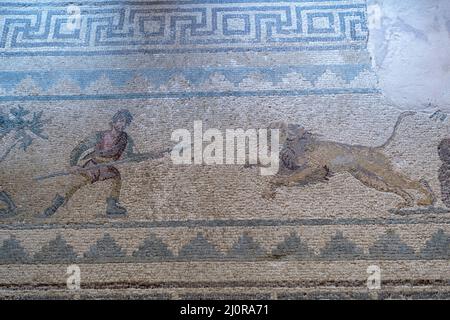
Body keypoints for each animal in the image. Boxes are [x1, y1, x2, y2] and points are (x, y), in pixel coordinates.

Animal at [266, 111, 434, 209]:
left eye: (278, 129)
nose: (268, 138)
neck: (296, 143)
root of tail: (374, 148)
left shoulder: (312, 166)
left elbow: (292, 176)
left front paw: (279, 182)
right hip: (371, 179)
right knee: (401, 189)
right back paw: (407, 203)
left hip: (384, 172)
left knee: (419, 181)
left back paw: (428, 200)